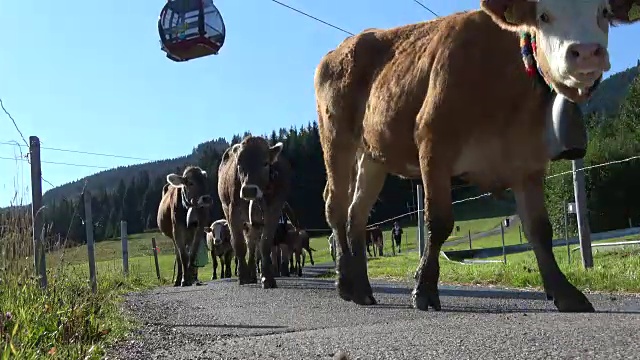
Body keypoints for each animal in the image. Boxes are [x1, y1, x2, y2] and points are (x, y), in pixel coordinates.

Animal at [316, 0, 640, 312]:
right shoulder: (433, 141)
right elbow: (439, 222)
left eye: (604, 12)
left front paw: (565, 293)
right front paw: (424, 289)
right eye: (544, 16)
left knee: (356, 214)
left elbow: (540, 230)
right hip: (336, 138)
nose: (586, 52)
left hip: (372, 156)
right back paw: (345, 284)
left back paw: (362, 289)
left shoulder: (528, 163)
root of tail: (339, 48)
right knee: (335, 205)